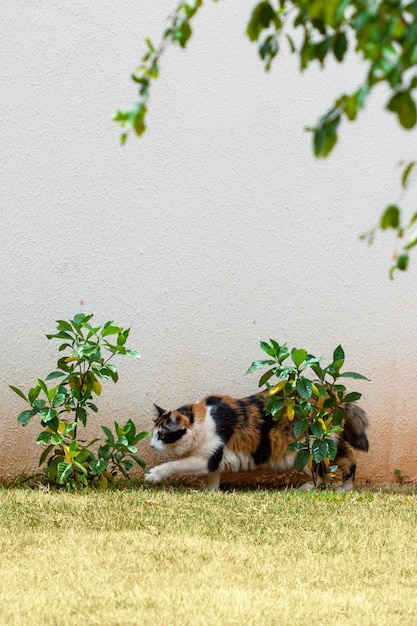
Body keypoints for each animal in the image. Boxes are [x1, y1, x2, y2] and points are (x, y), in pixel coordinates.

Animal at [145, 390, 368, 488]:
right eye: (153, 433)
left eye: (162, 435)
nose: (151, 445)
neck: (202, 419)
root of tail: (334, 398)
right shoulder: (215, 460)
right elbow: (214, 477)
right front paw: (211, 491)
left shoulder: (207, 458)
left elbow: (175, 465)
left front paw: (153, 474)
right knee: (347, 457)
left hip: (312, 449)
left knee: (332, 469)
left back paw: (318, 489)